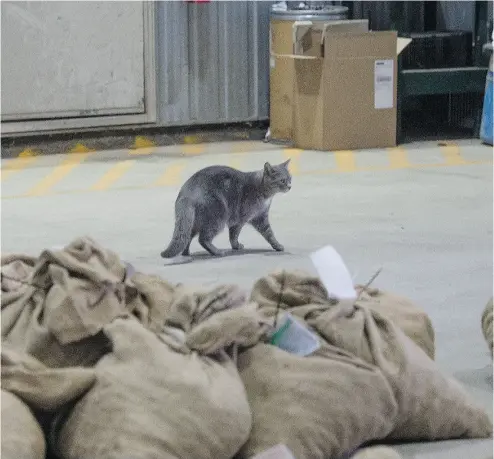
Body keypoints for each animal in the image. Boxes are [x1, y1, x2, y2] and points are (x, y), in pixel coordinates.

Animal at [162, 161, 292, 258]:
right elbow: (236, 235)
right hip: (218, 218)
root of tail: (186, 193)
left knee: (187, 236)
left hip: (194, 222)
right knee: (203, 239)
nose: (290, 186)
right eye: (282, 181)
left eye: (290, 178)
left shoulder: (261, 217)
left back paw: (186, 253)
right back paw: (217, 252)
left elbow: (267, 233)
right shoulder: (243, 220)